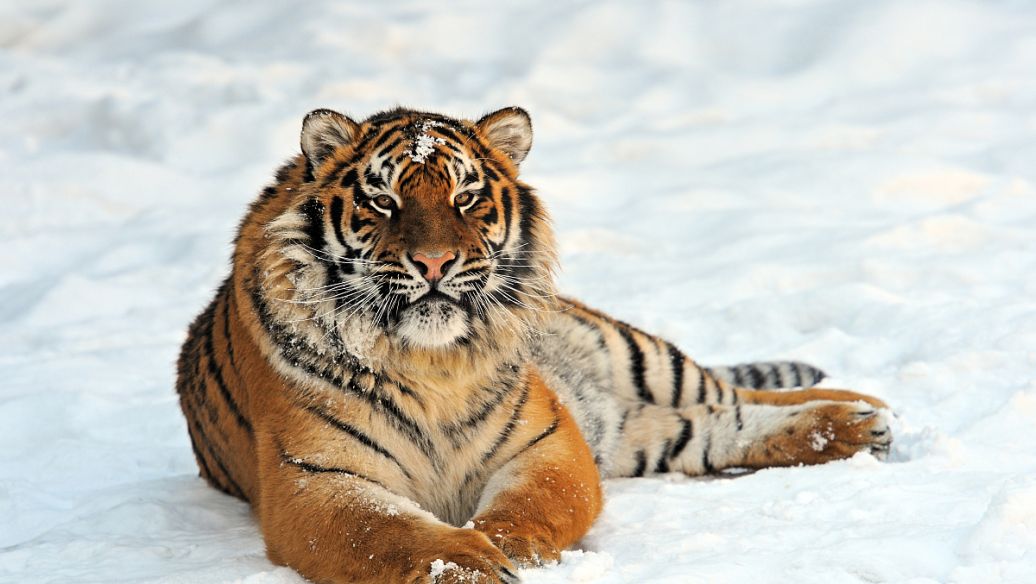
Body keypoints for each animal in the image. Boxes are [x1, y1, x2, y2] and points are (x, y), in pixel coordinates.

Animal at [175, 106, 892, 584]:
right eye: (382, 201)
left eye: (466, 197)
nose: (433, 262)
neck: (431, 363)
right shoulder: (316, 479)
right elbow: (389, 530)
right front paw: (466, 562)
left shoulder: (547, 439)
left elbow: (531, 504)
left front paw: (502, 548)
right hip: (636, 432)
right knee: (719, 426)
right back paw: (853, 428)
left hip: (634, 355)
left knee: (733, 390)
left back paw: (867, 410)